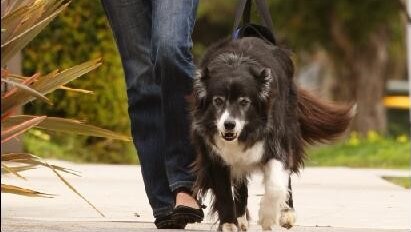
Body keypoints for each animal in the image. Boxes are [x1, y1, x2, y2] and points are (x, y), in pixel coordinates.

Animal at [191, 37, 354, 231]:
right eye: (217, 101)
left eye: (244, 102)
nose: (229, 125)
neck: (234, 64)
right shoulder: (212, 151)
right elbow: (223, 189)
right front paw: (229, 224)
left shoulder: (275, 140)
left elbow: (276, 184)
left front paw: (267, 217)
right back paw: (240, 218)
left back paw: (287, 213)